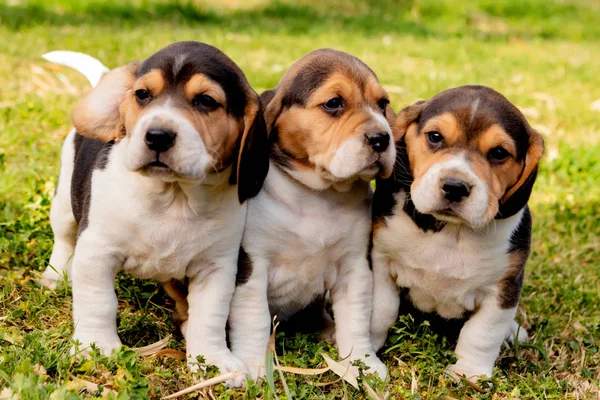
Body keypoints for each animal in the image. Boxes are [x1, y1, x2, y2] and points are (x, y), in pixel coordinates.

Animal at [41, 41, 268, 388]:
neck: (173, 198)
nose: (157, 135)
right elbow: (98, 301)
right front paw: (96, 347)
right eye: (142, 95)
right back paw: (55, 276)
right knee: (64, 238)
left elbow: (210, 317)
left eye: (206, 101)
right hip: (65, 203)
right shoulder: (96, 251)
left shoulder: (217, 266)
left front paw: (213, 361)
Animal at [227, 48, 396, 380]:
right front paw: (254, 365)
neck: (318, 196)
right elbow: (254, 317)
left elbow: (356, 321)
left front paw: (364, 363)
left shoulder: (355, 267)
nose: (382, 138)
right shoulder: (252, 265)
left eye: (383, 104)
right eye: (334, 103)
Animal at [370, 85, 544, 382]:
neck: (452, 231)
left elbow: (482, 334)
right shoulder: (382, 262)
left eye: (499, 152)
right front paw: (364, 350)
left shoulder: (503, 289)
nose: (454, 186)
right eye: (435, 137)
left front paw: (469, 374)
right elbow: (380, 309)